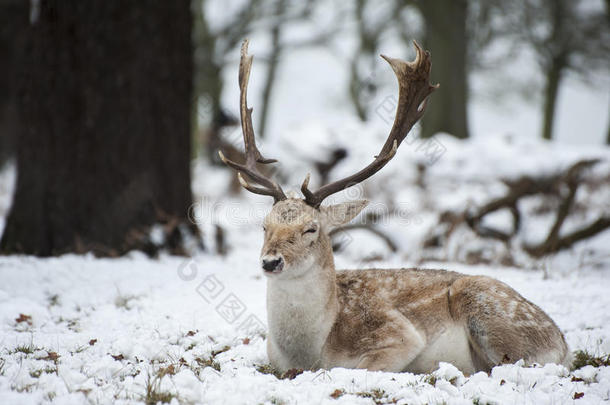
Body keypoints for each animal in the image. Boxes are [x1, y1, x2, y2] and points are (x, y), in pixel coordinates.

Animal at [218, 39, 568, 374]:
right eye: (265, 225)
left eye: (311, 228)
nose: (270, 262)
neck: (311, 350)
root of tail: (562, 343)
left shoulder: (399, 334)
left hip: (491, 312)